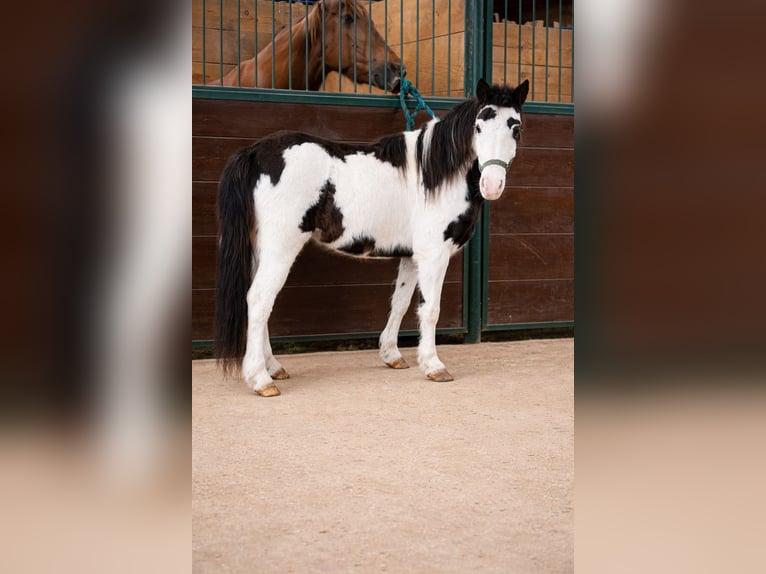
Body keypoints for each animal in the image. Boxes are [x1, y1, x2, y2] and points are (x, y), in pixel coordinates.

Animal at [215, 79, 530, 396]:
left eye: (515, 128)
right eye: (478, 127)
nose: (491, 185)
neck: (437, 174)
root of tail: (254, 153)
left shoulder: (411, 257)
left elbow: (400, 303)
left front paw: (391, 355)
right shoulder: (433, 254)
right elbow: (430, 309)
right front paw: (433, 366)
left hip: (261, 250)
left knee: (260, 302)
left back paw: (273, 368)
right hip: (281, 246)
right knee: (259, 299)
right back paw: (260, 379)